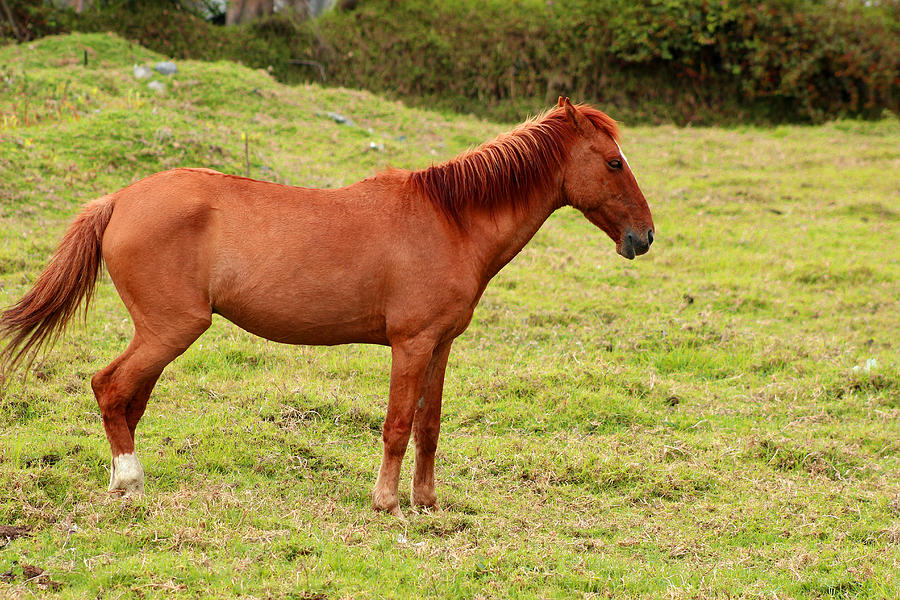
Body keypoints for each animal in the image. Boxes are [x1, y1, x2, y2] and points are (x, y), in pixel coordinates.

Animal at [0, 97, 652, 516]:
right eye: (614, 162)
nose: (644, 237)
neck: (451, 219)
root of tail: (118, 200)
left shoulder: (440, 346)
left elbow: (429, 425)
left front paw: (427, 503)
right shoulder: (411, 344)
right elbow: (397, 425)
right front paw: (387, 503)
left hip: (162, 334)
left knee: (128, 399)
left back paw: (123, 482)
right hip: (170, 329)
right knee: (110, 388)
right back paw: (130, 484)